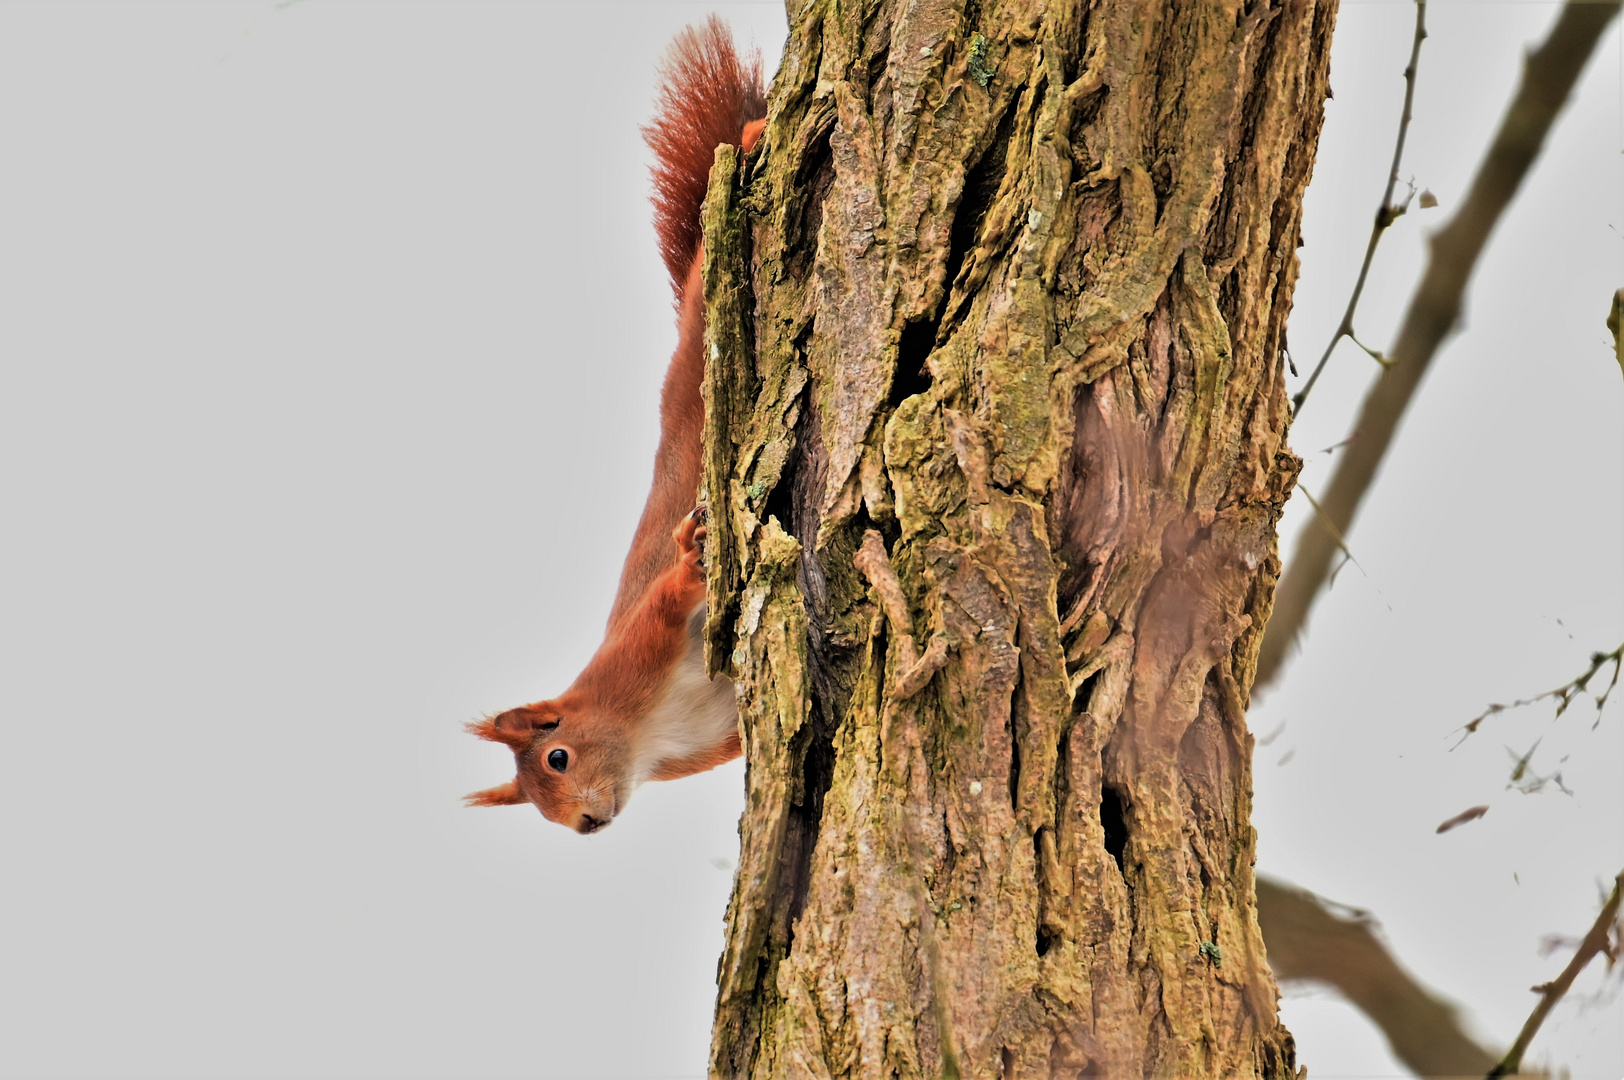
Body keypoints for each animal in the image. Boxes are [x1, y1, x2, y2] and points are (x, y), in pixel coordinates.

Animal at [464, 23, 766, 831]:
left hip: (702, 321)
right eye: (540, 811)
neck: (647, 731)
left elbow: (668, 596)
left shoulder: (636, 649)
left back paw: (756, 136)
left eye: (557, 758)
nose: (585, 826)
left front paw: (692, 558)